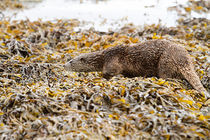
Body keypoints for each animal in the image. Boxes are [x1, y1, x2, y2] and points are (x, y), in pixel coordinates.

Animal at [65, 39, 209, 98]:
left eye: (71, 61)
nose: (64, 64)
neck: (103, 57)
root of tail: (182, 58)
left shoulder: (112, 61)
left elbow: (110, 72)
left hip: (165, 61)